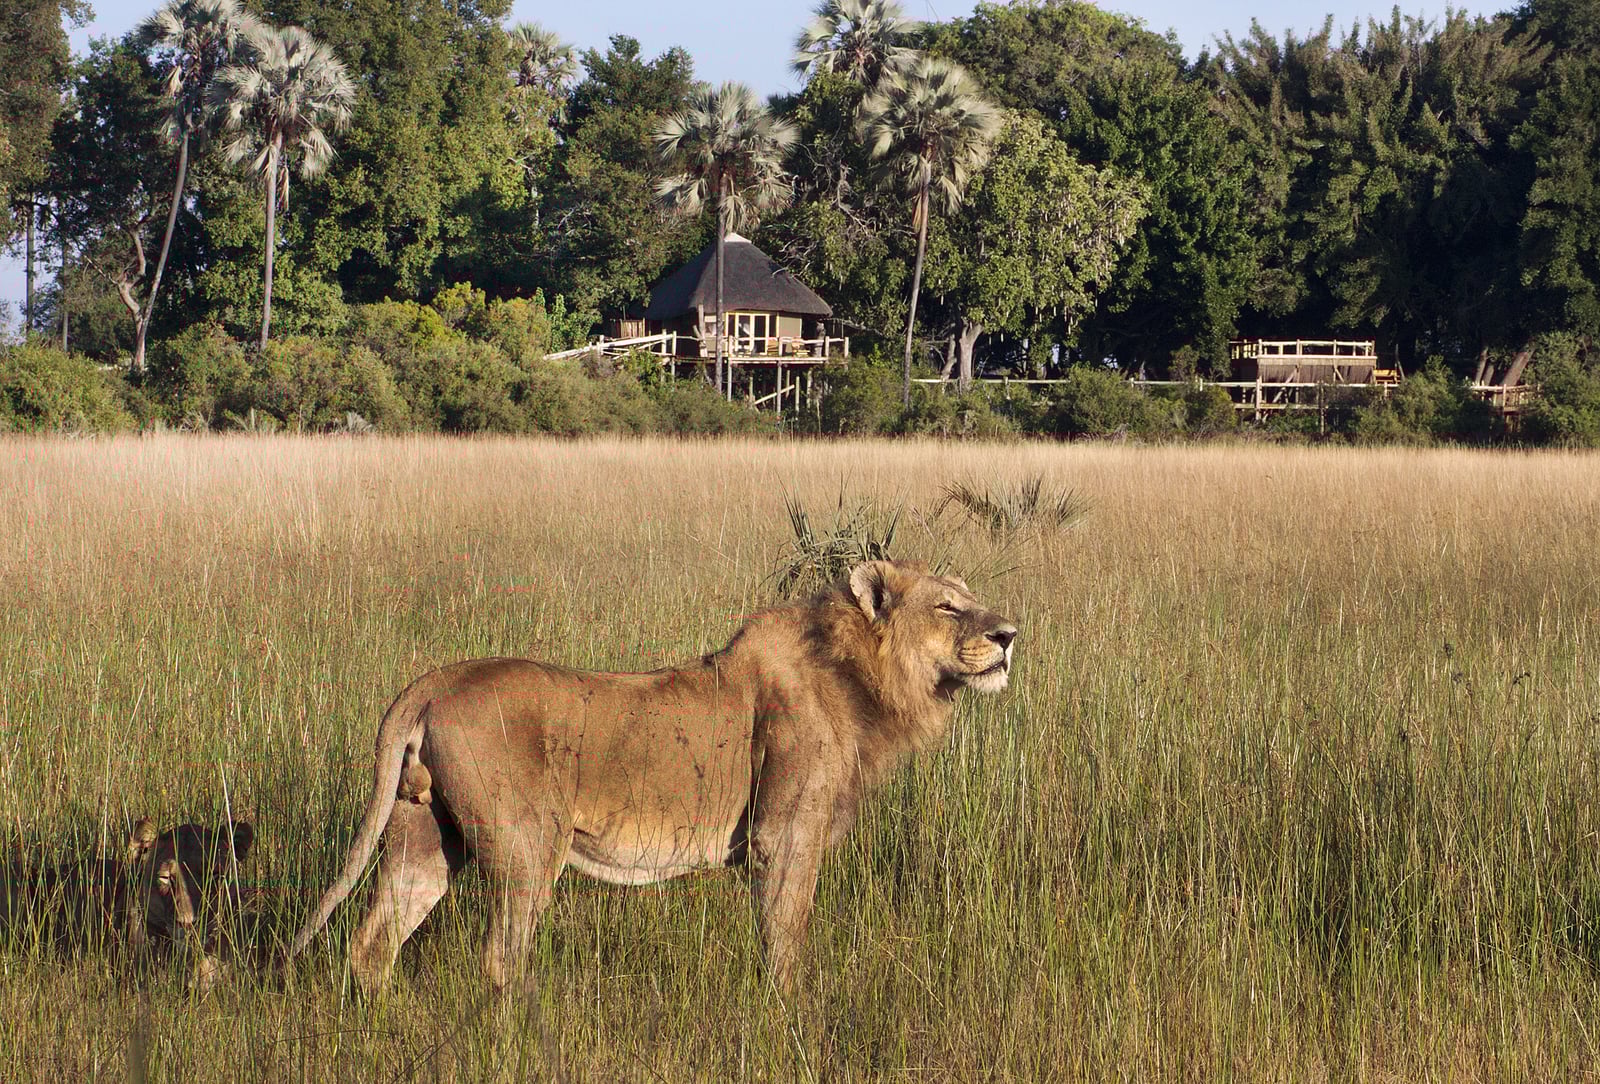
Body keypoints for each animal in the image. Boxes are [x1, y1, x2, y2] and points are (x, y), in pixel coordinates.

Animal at [284, 560, 1017, 993]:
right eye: (949, 608)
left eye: (974, 602)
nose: (1011, 635)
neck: (864, 679)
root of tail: (438, 678)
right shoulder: (784, 839)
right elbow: (784, 942)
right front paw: (787, 1015)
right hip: (528, 847)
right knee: (500, 959)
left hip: (425, 835)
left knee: (373, 943)